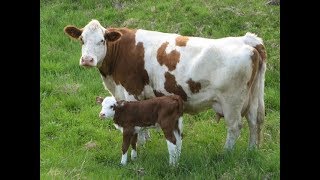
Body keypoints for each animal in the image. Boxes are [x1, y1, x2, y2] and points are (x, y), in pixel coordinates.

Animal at [63, 19, 266, 150]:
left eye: (102, 40)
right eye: (82, 40)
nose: (87, 59)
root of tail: (247, 40)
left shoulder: (131, 91)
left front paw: (140, 146)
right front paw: (146, 141)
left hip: (232, 101)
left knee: (235, 127)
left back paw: (226, 154)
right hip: (253, 97)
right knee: (255, 121)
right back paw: (251, 151)